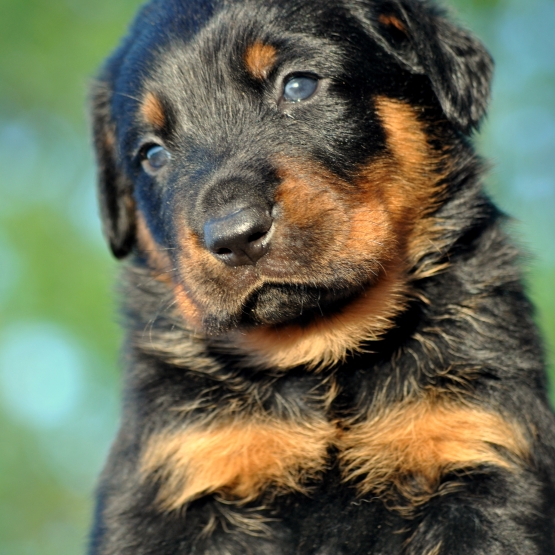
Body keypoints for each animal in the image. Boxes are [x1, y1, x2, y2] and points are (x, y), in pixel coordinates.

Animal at [88, 1, 555, 555]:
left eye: (299, 86)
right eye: (152, 154)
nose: (235, 234)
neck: (321, 354)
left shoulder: (478, 445)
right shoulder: (182, 468)